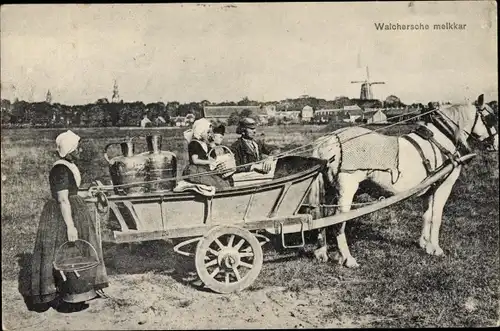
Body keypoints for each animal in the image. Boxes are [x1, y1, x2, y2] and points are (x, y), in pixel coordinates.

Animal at [308, 94, 496, 268]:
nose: (495, 144)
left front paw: (425, 244)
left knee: (321, 216)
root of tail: (329, 141)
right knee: (338, 222)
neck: (443, 138)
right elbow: (436, 217)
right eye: (490, 118)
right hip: (346, 190)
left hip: (328, 190)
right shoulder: (444, 186)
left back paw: (321, 252)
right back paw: (348, 258)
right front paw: (436, 248)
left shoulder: (430, 187)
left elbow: (427, 215)